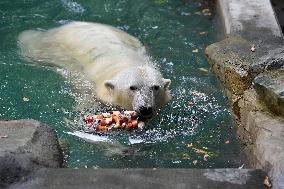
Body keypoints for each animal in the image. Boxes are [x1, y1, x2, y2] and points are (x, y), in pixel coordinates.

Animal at [18, 21, 172, 119]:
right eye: (132, 87)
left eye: (155, 87)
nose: (145, 108)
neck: (126, 62)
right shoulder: (88, 83)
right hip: (46, 47)